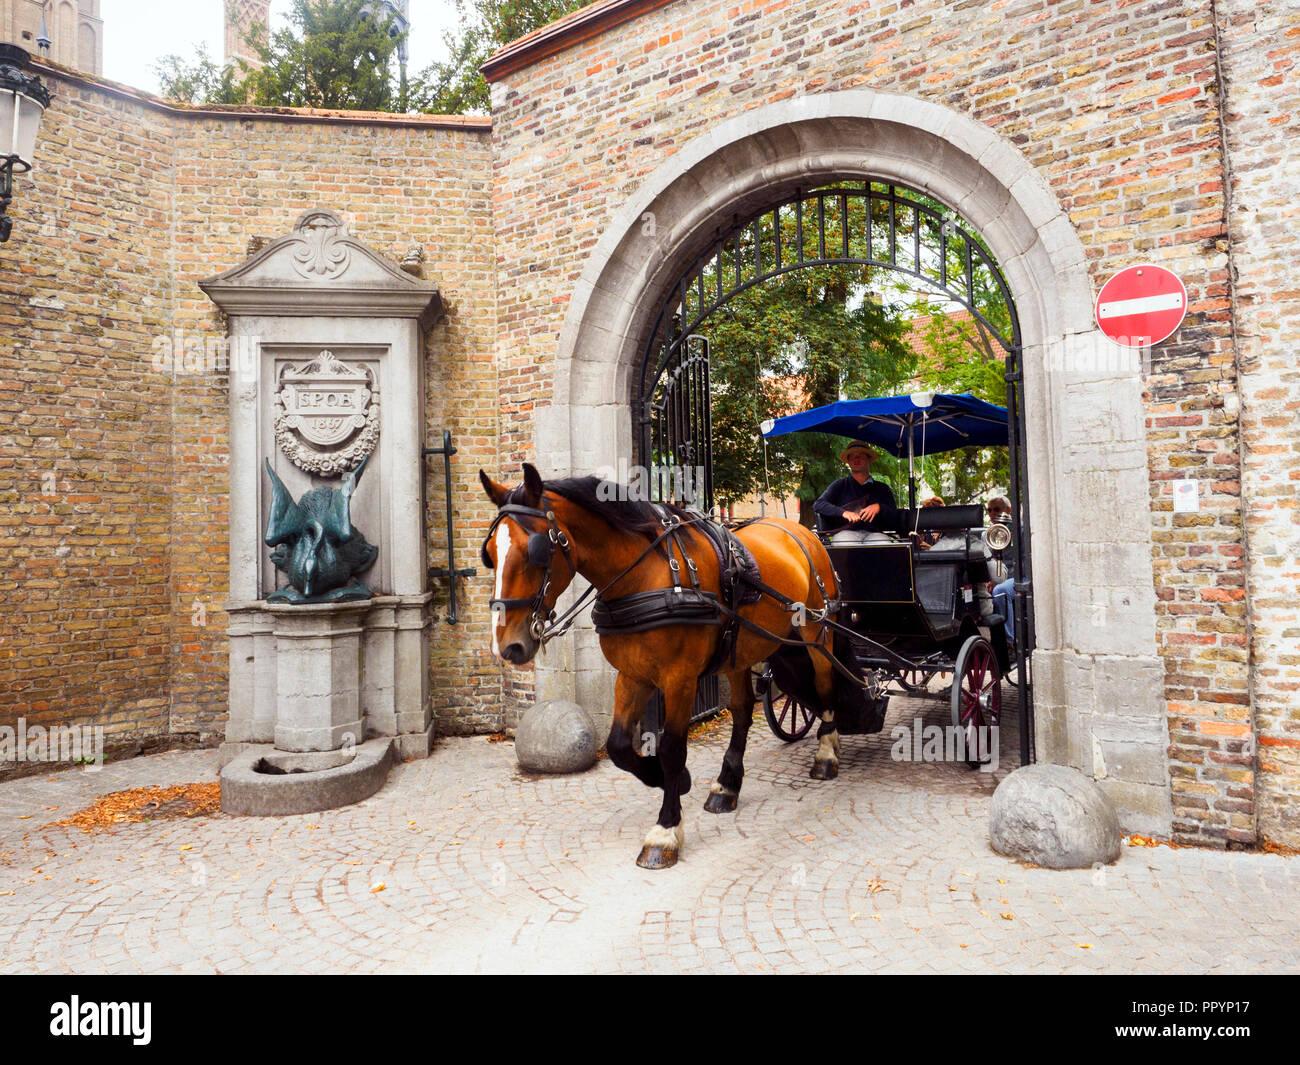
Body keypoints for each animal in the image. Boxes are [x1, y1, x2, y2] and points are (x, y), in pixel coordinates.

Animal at [478, 462, 863, 868]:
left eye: (536, 551)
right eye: (489, 554)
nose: (507, 646)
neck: (647, 576)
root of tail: (803, 531)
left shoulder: (680, 678)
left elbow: (672, 749)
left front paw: (665, 831)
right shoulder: (631, 674)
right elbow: (618, 746)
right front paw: (670, 780)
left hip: (818, 632)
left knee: (825, 686)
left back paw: (826, 754)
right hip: (739, 650)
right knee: (743, 710)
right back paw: (727, 785)